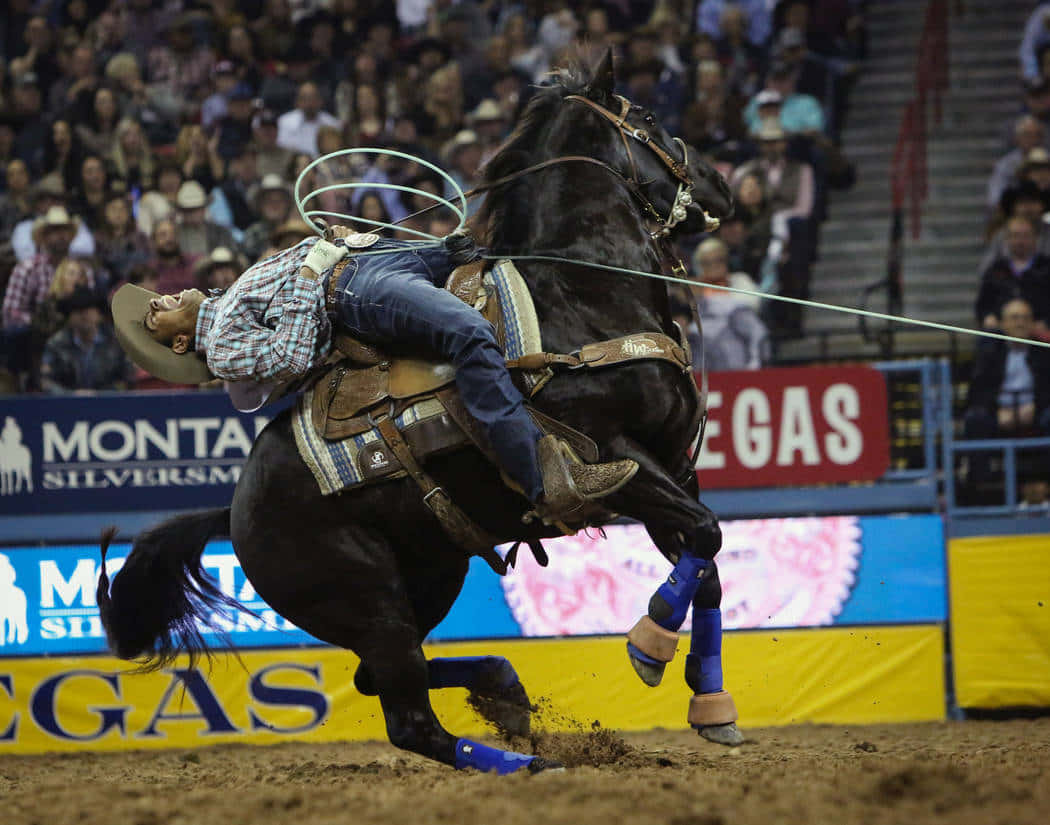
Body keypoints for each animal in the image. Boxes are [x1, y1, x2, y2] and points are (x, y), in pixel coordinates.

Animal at [96, 56, 739, 772]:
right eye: (648, 117)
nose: (720, 185)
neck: (582, 296)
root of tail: (233, 511)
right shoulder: (618, 457)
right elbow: (706, 535)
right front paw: (648, 643)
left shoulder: (674, 467)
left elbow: (708, 562)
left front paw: (709, 699)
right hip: (367, 596)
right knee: (407, 718)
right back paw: (528, 759)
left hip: (433, 573)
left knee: (373, 680)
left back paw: (502, 689)